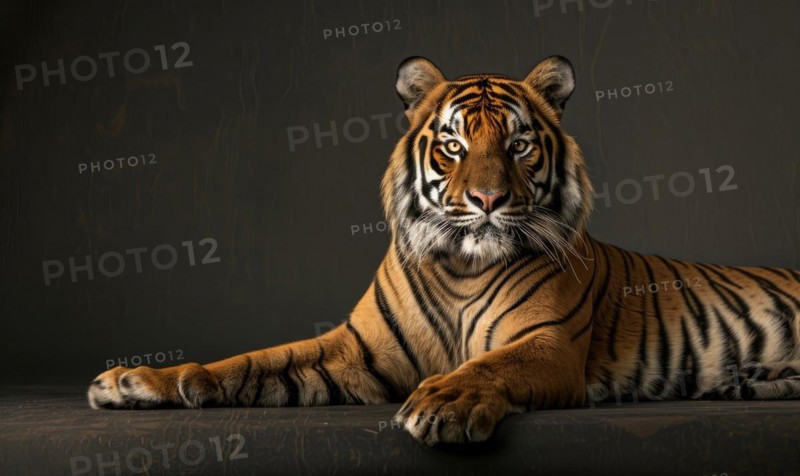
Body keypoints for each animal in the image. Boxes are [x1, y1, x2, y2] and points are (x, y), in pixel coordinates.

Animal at [88, 55, 800, 446]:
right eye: (454, 145)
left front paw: (443, 404)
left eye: (518, 144)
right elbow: (249, 362)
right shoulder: (356, 352)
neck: (463, 264)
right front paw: (137, 381)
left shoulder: (546, 344)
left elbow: (487, 366)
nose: (485, 199)